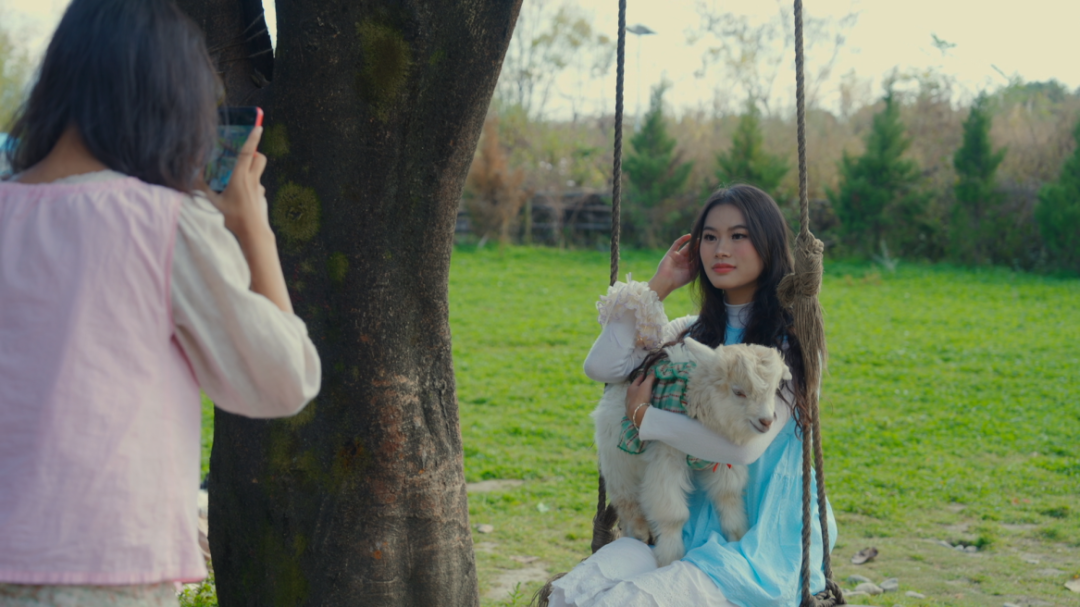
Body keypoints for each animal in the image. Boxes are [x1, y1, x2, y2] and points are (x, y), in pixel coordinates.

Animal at [592, 337, 791, 566]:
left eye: (774, 391)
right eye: (738, 391)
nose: (766, 422)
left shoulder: (722, 461)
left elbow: (728, 496)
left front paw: (737, 539)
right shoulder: (667, 457)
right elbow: (673, 515)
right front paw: (669, 559)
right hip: (618, 462)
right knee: (625, 499)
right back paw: (641, 531)